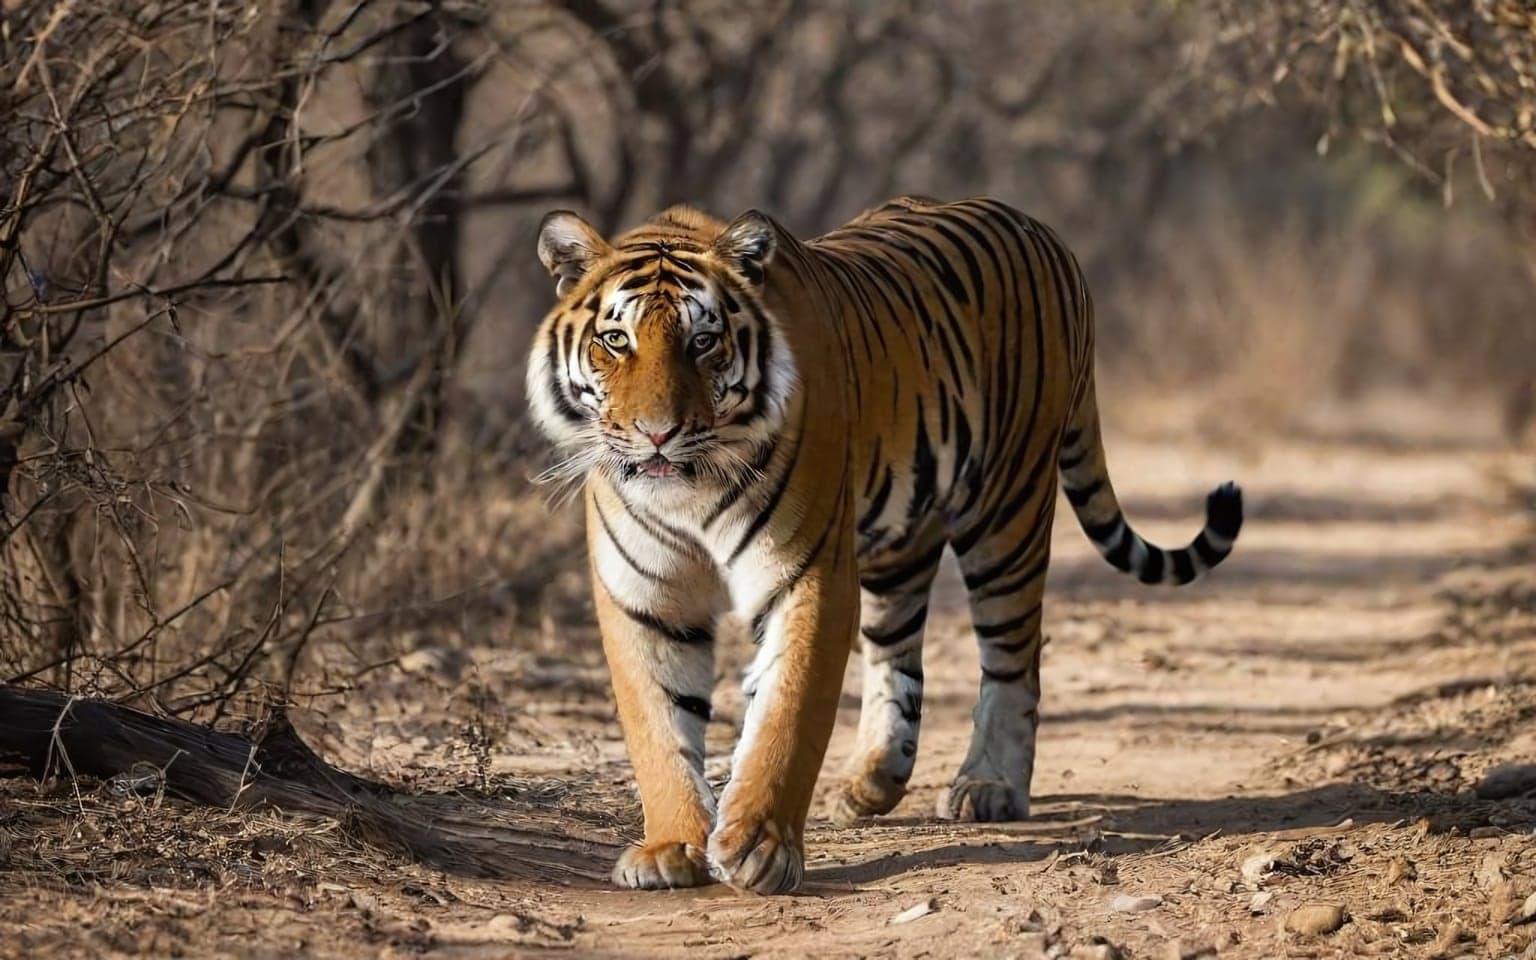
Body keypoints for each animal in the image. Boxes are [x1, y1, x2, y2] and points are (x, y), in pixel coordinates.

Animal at [525, 196, 1243, 895]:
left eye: (704, 342)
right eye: (615, 341)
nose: (657, 434)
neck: (691, 490)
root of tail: (1046, 234)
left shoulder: (805, 570)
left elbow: (789, 712)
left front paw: (759, 846)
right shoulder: (645, 595)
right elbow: (659, 725)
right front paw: (671, 847)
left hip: (1007, 511)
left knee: (1013, 656)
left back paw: (989, 785)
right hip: (902, 540)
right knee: (896, 653)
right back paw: (870, 781)